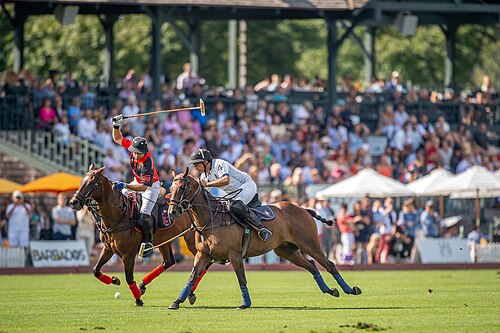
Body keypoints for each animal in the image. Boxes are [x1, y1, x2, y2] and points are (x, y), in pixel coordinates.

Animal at [68, 163, 207, 306]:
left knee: (202, 265)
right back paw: (143, 285)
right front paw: (115, 280)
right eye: (81, 181)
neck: (118, 216)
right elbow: (95, 270)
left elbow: (129, 278)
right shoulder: (108, 248)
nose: (73, 202)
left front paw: (138, 299)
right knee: (168, 262)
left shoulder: (128, 253)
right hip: (165, 241)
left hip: (192, 241)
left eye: (91, 182)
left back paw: (189, 293)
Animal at [169, 167, 364, 310]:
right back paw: (330, 290)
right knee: (311, 266)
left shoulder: (235, 254)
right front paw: (177, 301)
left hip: (310, 244)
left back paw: (350, 289)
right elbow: (192, 277)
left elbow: (241, 278)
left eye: (182, 188)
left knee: (328, 264)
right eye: (170, 189)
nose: (172, 212)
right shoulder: (203, 255)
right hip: (286, 250)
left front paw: (245, 303)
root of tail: (303, 208)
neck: (211, 219)